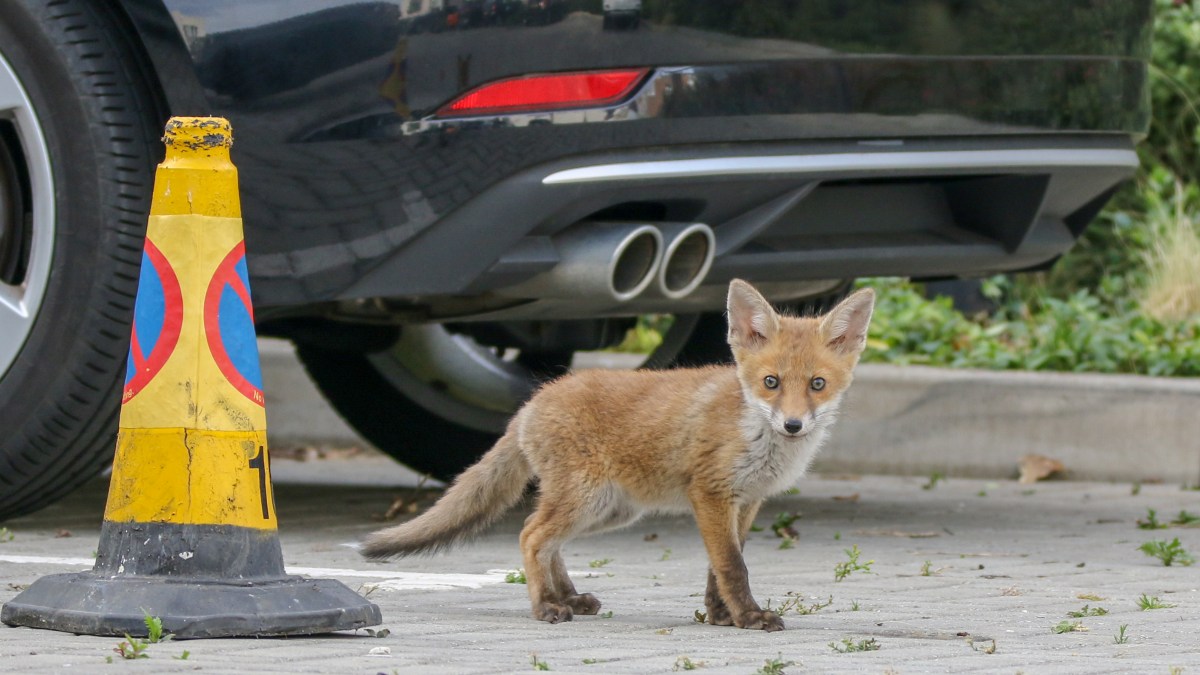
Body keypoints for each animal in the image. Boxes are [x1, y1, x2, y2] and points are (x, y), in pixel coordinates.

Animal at [360, 279, 875, 632]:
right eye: (771, 382)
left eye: (817, 384)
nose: (793, 425)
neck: (754, 433)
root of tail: (532, 401)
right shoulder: (710, 495)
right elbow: (733, 566)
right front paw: (748, 617)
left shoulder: (746, 502)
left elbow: (720, 567)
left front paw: (719, 615)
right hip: (586, 499)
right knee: (531, 535)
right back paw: (546, 607)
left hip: (608, 509)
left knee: (548, 541)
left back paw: (568, 598)